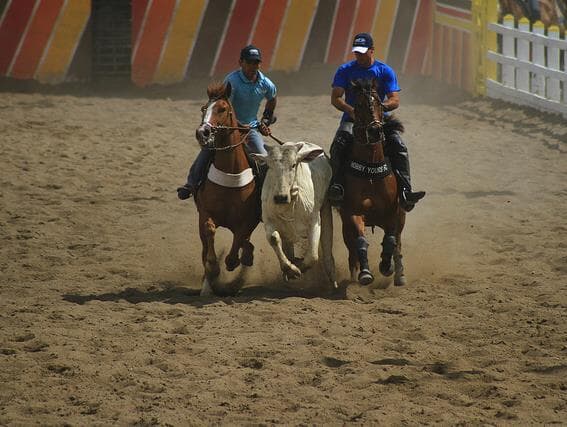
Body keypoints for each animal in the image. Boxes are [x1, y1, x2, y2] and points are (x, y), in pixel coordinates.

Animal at [192, 83, 260, 298]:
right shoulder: (205, 213)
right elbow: (209, 230)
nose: (202, 132)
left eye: (222, 109)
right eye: (203, 108)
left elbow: (238, 243)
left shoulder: (245, 220)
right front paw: (213, 268)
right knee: (204, 248)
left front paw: (236, 260)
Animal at [253, 142, 338, 290]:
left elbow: (312, 256)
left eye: (293, 165)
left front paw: (298, 268)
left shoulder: (314, 222)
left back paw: (333, 282)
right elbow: (274, 238)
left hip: (326, 207)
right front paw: (291, 269)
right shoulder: (269, 220)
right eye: (270, 165)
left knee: (327, 247)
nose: (280, 197)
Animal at [342, 79, 408, 288]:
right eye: (359, 104)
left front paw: (387, 266)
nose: (375, 130)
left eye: (379, 103)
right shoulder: (353, 213)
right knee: (351, 250)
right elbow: (360, 241)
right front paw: (365, 273)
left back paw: (400, 274)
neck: (371, 168)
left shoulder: (393, 213)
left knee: (398, 242)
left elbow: (391, 240)